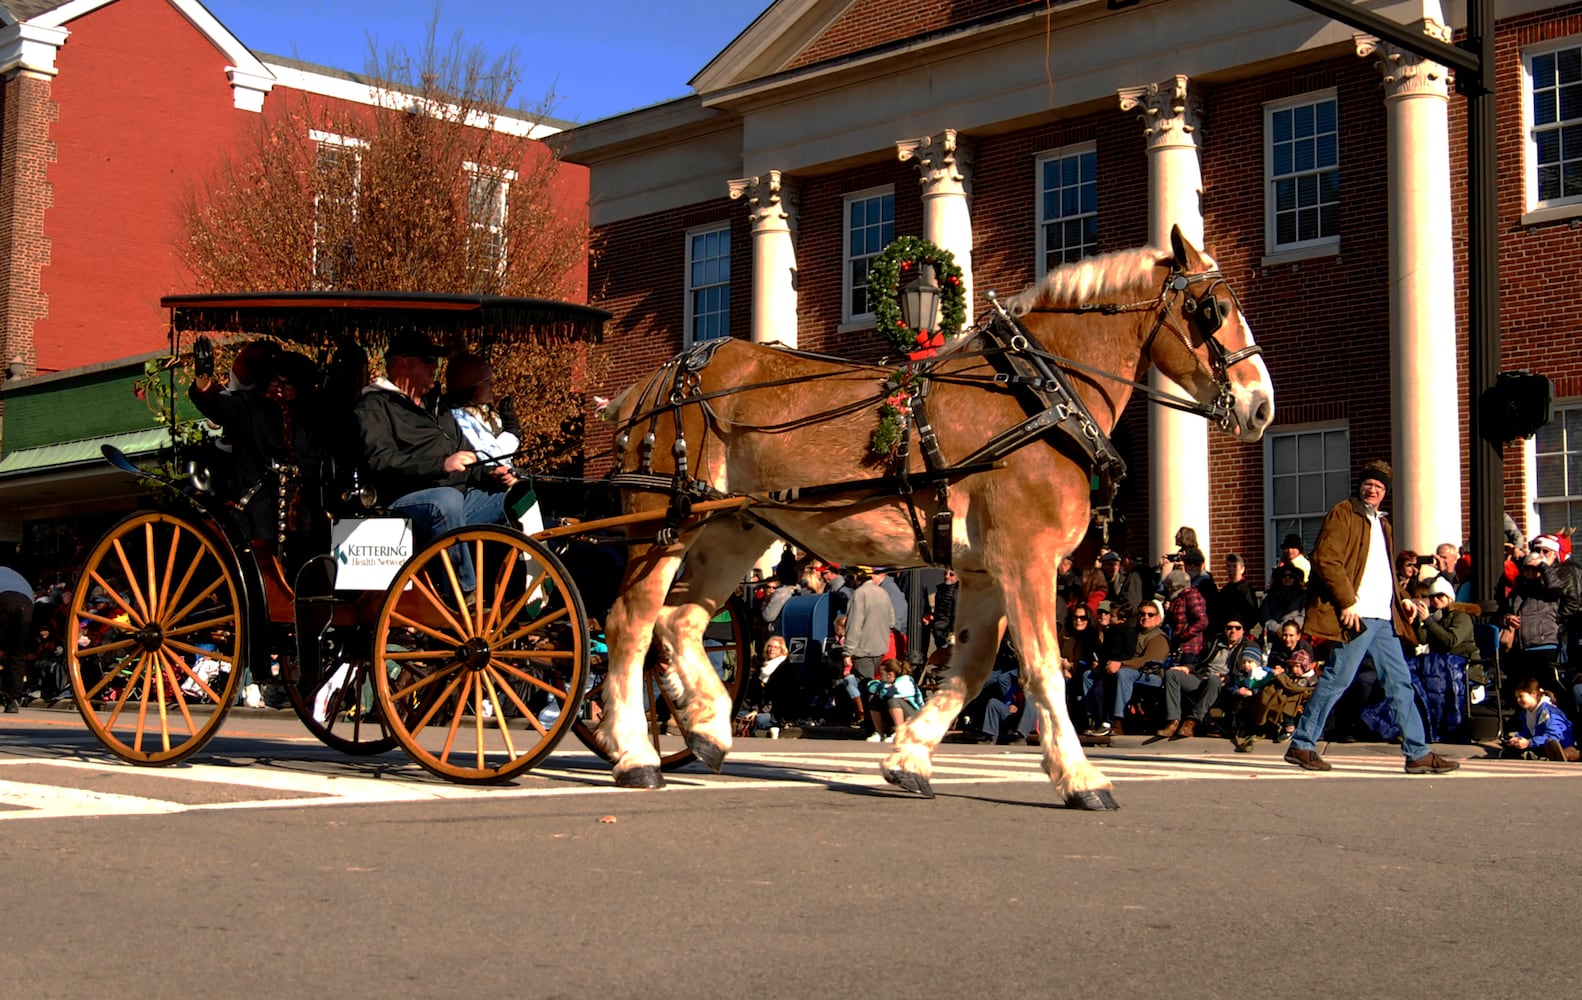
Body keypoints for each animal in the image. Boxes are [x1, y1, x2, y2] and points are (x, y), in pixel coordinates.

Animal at [594, 226, 1271, 803]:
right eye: (1213, 309)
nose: (1261, 405)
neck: (1041, 394)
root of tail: (655, 382)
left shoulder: (983, 570)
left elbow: (971, 669)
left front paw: (908, 757)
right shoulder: (1026, 557)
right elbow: (1044, 666)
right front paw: (1081, 776)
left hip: (732, 527)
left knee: (680, 619)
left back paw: (705, 726)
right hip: (662, 524)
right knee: (631, 622)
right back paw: (634, 752)